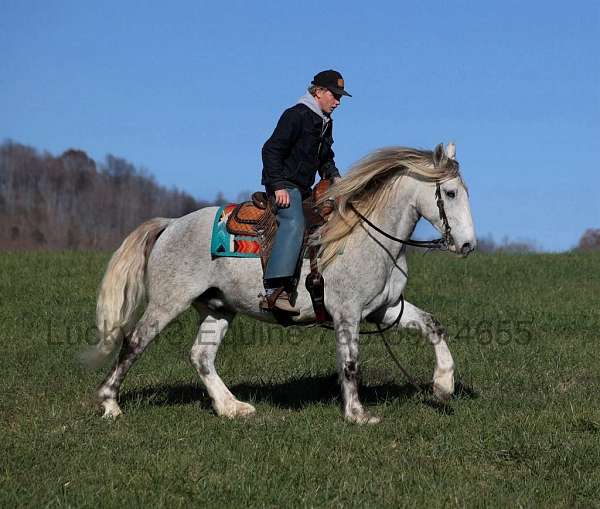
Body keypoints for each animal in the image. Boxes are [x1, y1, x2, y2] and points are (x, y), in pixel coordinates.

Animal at [86, 142, 476, 420]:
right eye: (451, 193)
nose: (468, 245)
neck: (365, 236)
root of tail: (171, 224)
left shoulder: (385, 308)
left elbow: (433, 326)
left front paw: (443, 386)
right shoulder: (348, 313)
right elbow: (350, 362)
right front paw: (357, 414)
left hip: (218, 308)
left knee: (201, 355)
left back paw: (232, 408)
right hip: (167, 302)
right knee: (134, 343)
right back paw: (110, 404)